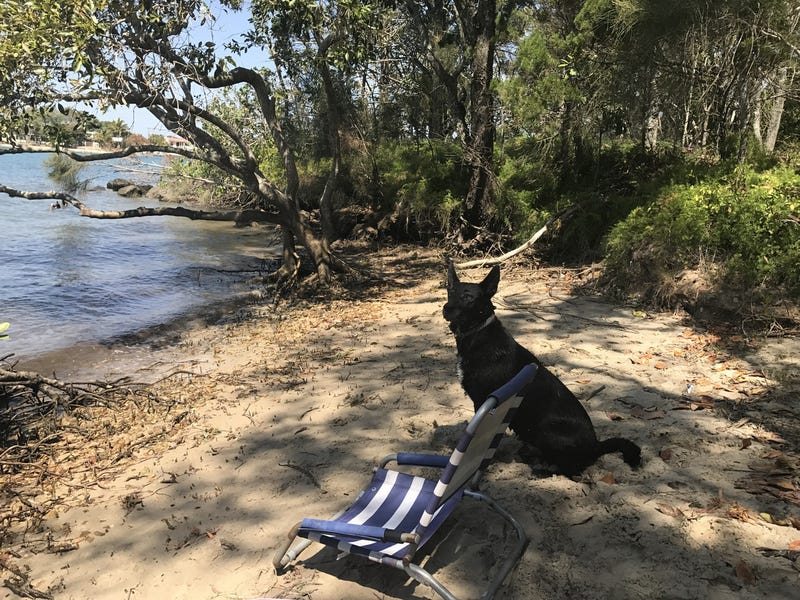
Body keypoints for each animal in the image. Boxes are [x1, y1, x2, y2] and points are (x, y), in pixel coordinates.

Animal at [440, 264, 640, 476]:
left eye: (468, 297)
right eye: (450, 292)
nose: (446, 309)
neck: (478, 333)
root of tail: (596, 445)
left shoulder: (483, 403)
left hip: (546, 428)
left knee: (572, 469)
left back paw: (542, 468)